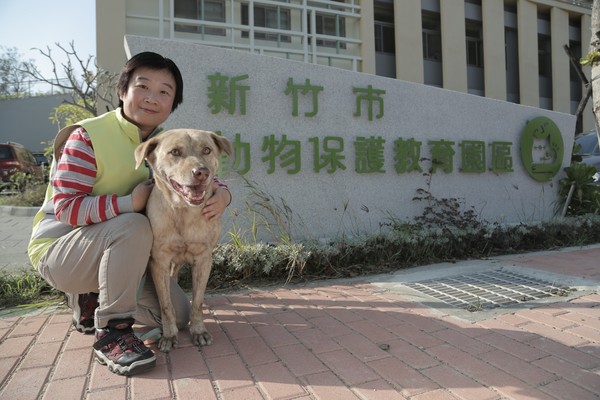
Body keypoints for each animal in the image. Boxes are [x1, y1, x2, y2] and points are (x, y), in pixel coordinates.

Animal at [134, 130, 232, 352]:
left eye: (207, 150)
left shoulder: (203, 259)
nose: (201, 172)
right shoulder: (159, 262)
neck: (184, 212)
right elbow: (166, 305)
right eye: (175, 152)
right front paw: (169, 335)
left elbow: (197, 302)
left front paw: (198, 331)